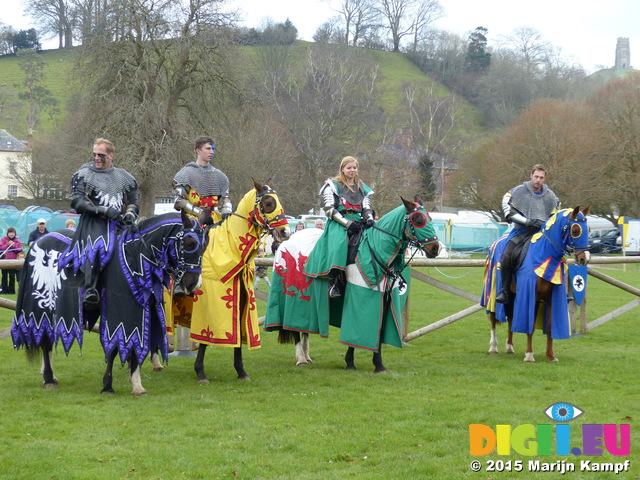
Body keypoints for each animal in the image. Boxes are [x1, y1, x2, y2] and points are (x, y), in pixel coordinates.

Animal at [11, 212, 205, 396]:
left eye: (204, 246)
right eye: (189, 243)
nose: (192, 284)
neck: (136, 256)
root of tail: (39, 241)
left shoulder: (141, 312)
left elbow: (137, 346)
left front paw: (137, 385)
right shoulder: (118, 314)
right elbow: (115, 347)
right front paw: (107, 385)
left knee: (48, 339)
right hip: (40, 309)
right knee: (44, 340)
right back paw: (49, 378)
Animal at [168, 179, 292, 382]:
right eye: (268, 203)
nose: (285, 232)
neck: (229, 247)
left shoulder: (242, 300)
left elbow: (239, 335)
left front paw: (241, 371)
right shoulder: (210, 303)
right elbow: (205, 338)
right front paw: (200, 371)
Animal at [264, 195, 440, 372]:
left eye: (430, 218)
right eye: (418, 219)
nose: (435, 248)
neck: (376, 249)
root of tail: (288, 239)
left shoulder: (384, 301)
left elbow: (378, 330)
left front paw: (379, 364)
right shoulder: (360, 297)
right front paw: (350, 362)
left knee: (304, 329)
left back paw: (306, 356)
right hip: (293, 298)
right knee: (293, 326)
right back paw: (300, 358)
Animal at [482, 204, 592, 362]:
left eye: (589, 229)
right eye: (576, 231)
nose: (585, 258)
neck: (544, 254)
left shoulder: (552, 299)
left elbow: (550, 325)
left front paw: (551, 356)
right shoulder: (530, 295)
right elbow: (530, 325)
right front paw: (529, 355)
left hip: (514, 295)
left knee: (511, 319)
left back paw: (509, 347)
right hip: (493, 294)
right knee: (493, 319)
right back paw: (493, 347)